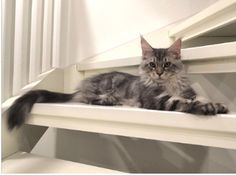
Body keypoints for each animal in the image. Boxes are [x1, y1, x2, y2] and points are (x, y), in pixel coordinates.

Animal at [7, 36, 229, 130]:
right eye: (152, 65)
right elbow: (183, 102)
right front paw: (206, 107)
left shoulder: (187, 91)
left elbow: (198, 97)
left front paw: (218, 104)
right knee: (89, 99)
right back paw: (108, 101)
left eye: (166, 64)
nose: (158, 73)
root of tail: (82, 85)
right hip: (101, 88)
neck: (168, 85)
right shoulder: (156, 100)